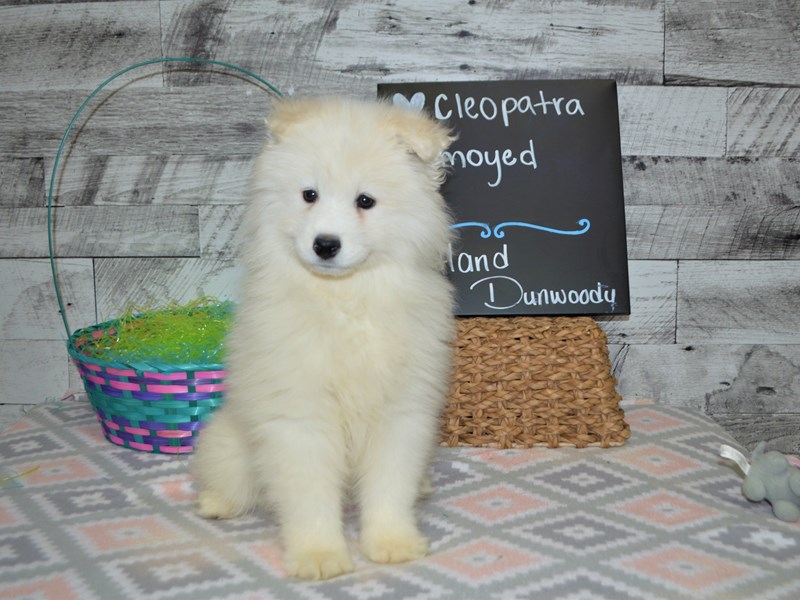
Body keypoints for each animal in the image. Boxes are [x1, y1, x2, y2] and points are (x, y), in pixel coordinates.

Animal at [191, 98, 456, 580]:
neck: (344, 300)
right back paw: (216, 503)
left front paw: (392, 543)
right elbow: (310, 496)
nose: (325, 245)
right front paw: (319, 556)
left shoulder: (399, 415)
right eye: (309, 195)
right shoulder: (301, 416)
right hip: (229, 446)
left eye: (365, 201)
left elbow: (390, 487)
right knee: (231, 479)